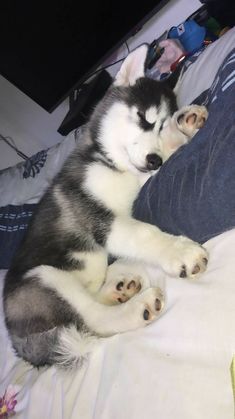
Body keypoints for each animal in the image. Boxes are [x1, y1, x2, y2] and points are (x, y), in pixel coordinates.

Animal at [3, 45, 207, 368]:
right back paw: (137, 306)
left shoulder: (140, 179)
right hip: (43, 279)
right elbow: (145, 233)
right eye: (144, 119)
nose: (154, 160)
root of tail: (20, 344)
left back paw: (118, 287)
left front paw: (183, 124)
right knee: (93, 319)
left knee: (93, 297)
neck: (110, 162)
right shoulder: (98, 217)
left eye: (161, 124)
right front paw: (181, 252)